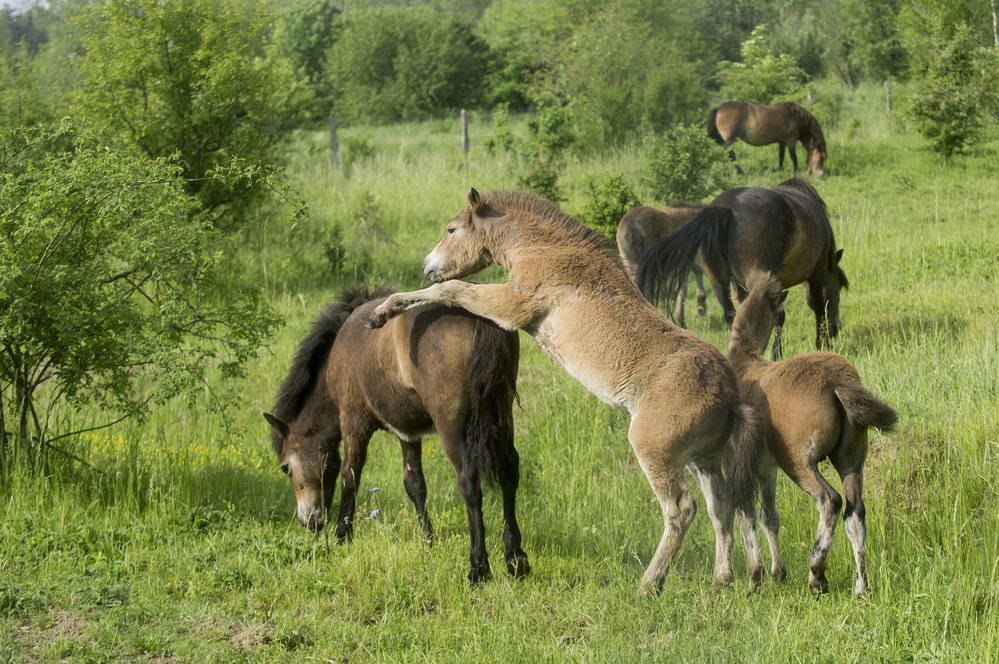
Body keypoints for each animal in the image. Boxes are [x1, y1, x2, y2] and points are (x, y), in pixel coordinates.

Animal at [636, 176, 848, 358]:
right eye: (838, 287)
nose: (836, 327)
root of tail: (726, 208)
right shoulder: (817, 272)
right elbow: (813, 309)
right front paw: (819, 345)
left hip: (718, 282)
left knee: (732, 315)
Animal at [728, 272, 900, 596]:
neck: (744, 363)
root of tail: (837, 382)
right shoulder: (767, 467)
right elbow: (769, 516)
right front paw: (777, 573)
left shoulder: (741, 463)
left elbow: (745, 511)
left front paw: (755, 579)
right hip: (850, 460)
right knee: (855, 511)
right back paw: (861, 587)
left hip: (798, 462)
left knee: (829, 500)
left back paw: (817, 574)